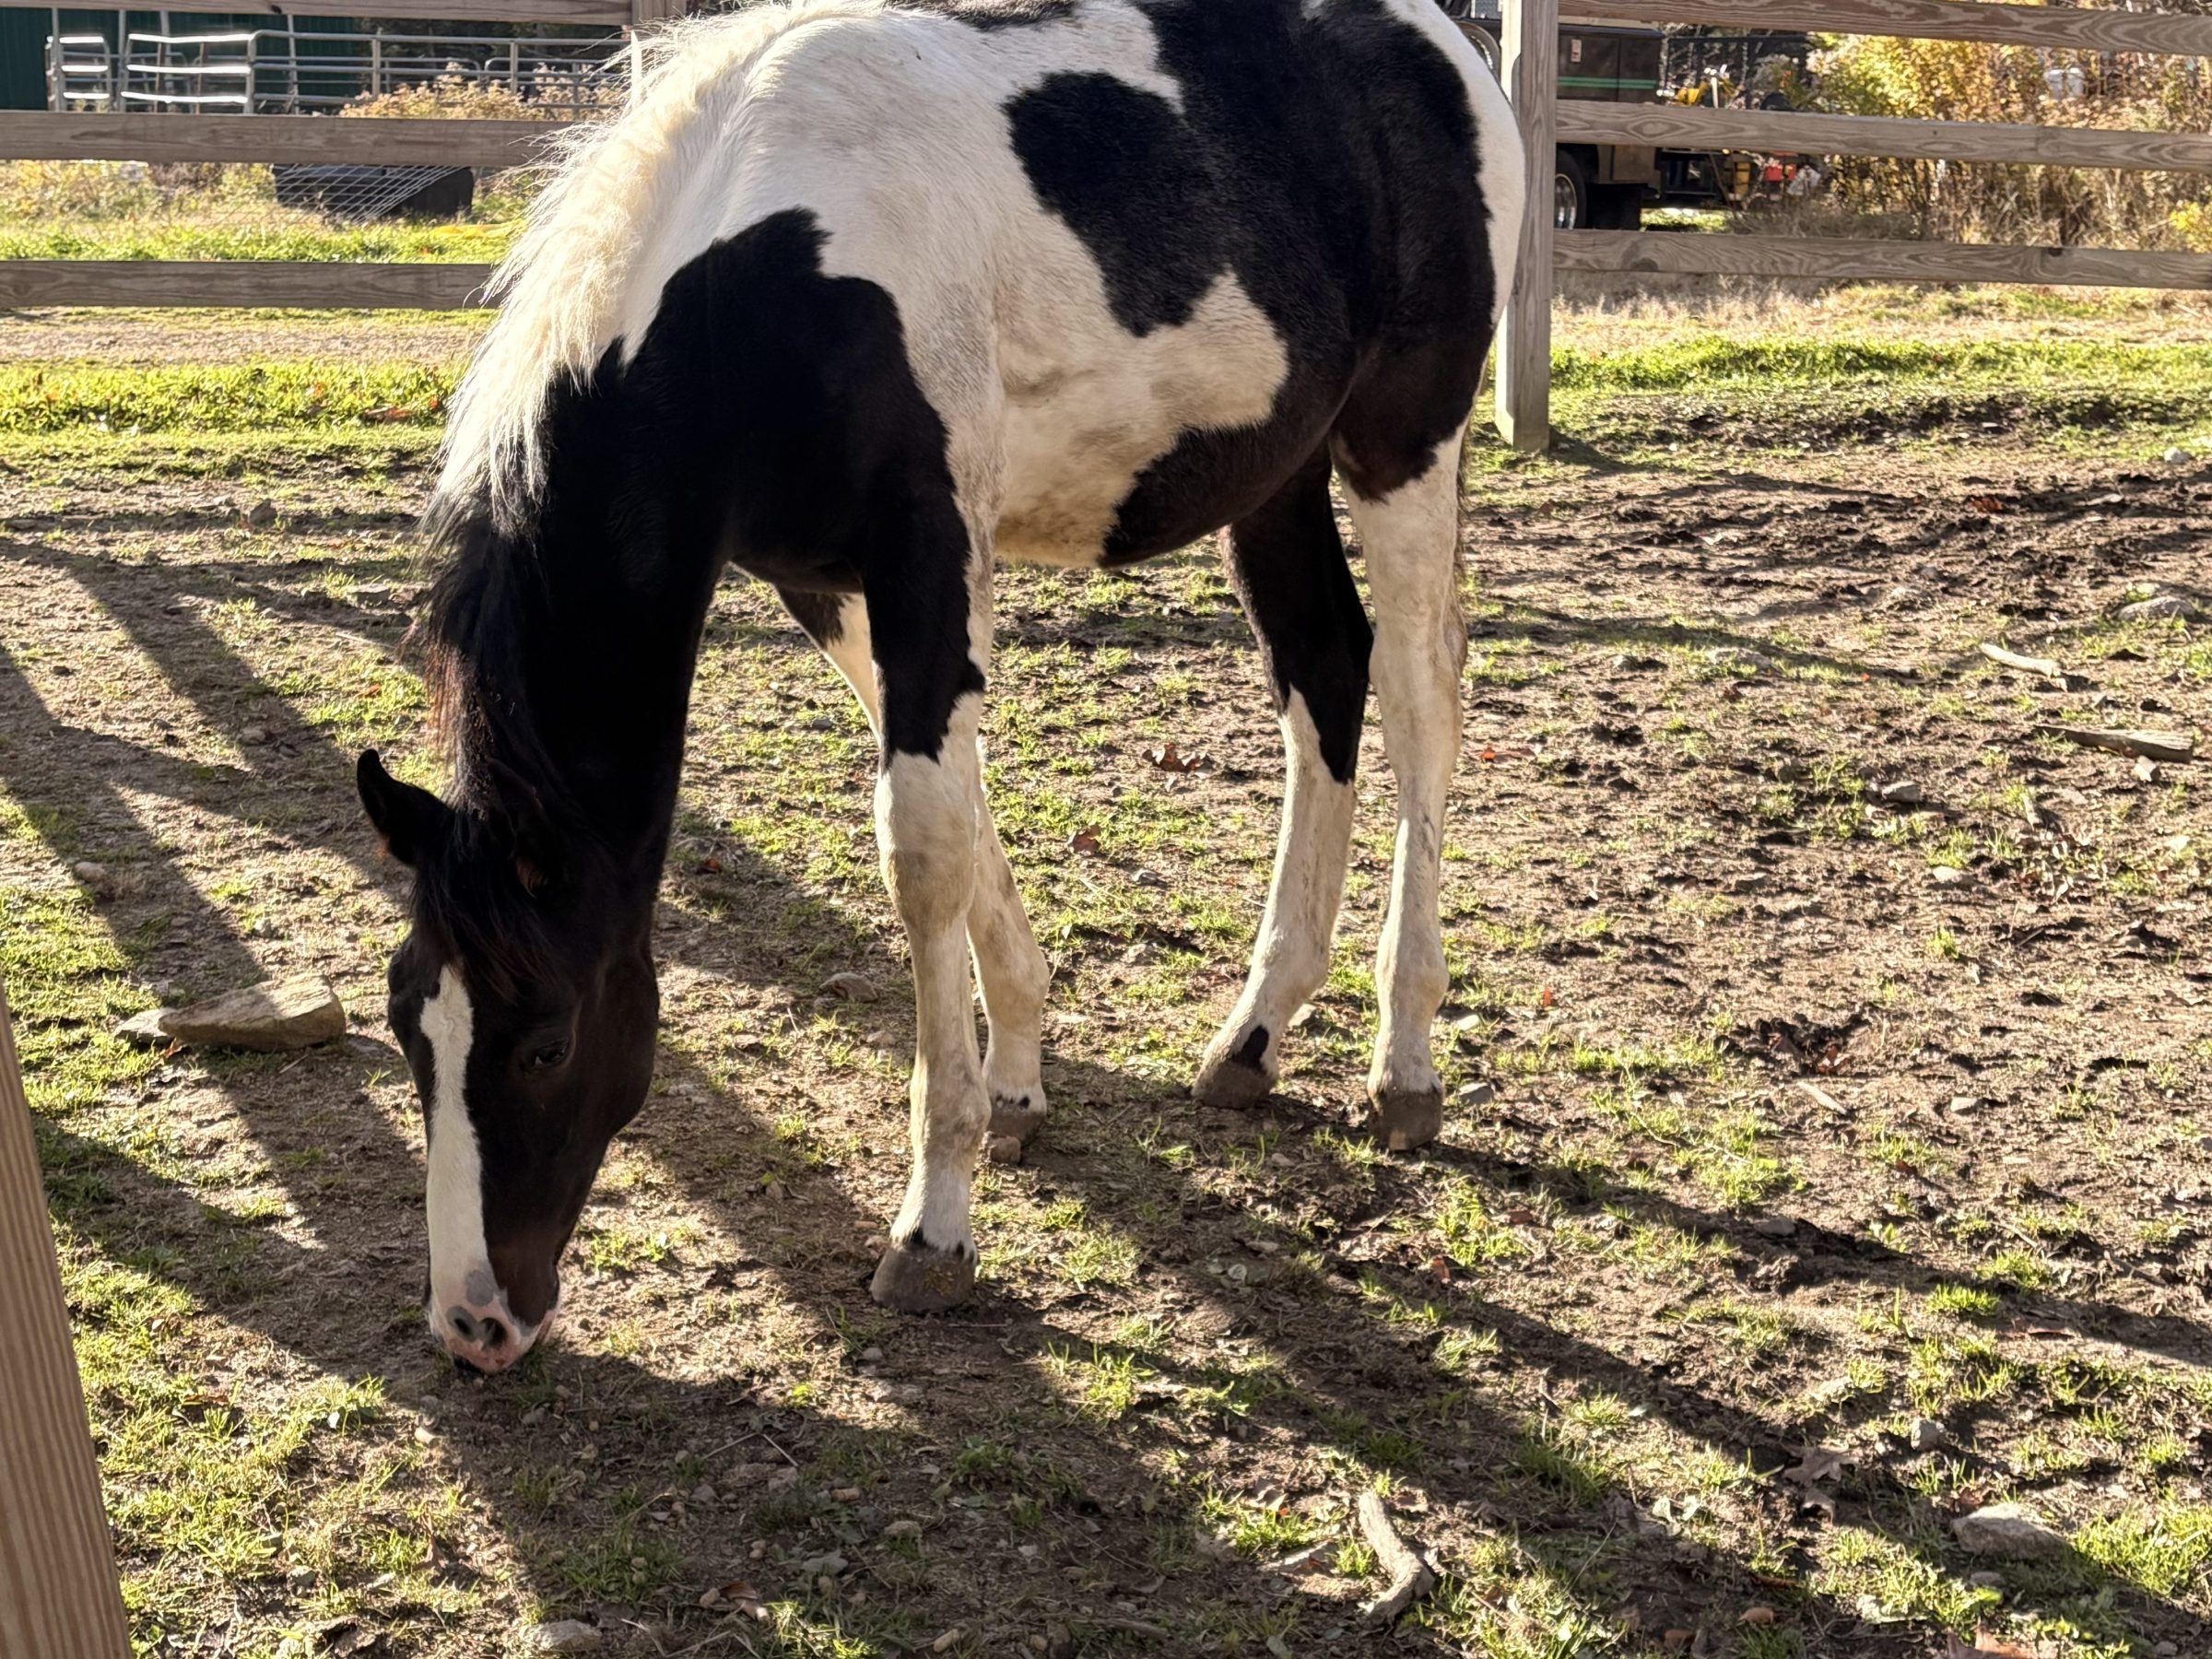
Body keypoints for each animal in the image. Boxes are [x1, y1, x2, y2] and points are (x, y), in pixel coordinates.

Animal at [355, 0, 1523, 1374]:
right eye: (407, 1023)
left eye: (544, 1042)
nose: (475, 1319)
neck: (771, 266)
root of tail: (1438, 45)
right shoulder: (830, 588)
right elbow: (959, 822)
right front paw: (1016, 1070)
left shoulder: (924, 560)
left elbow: (918, 853)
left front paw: (935, 1225)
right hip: (1271, 473)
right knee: (1323, 675)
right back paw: (1253, 1037)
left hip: (1404, 444)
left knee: (1419, 696)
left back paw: (1404, 1063)